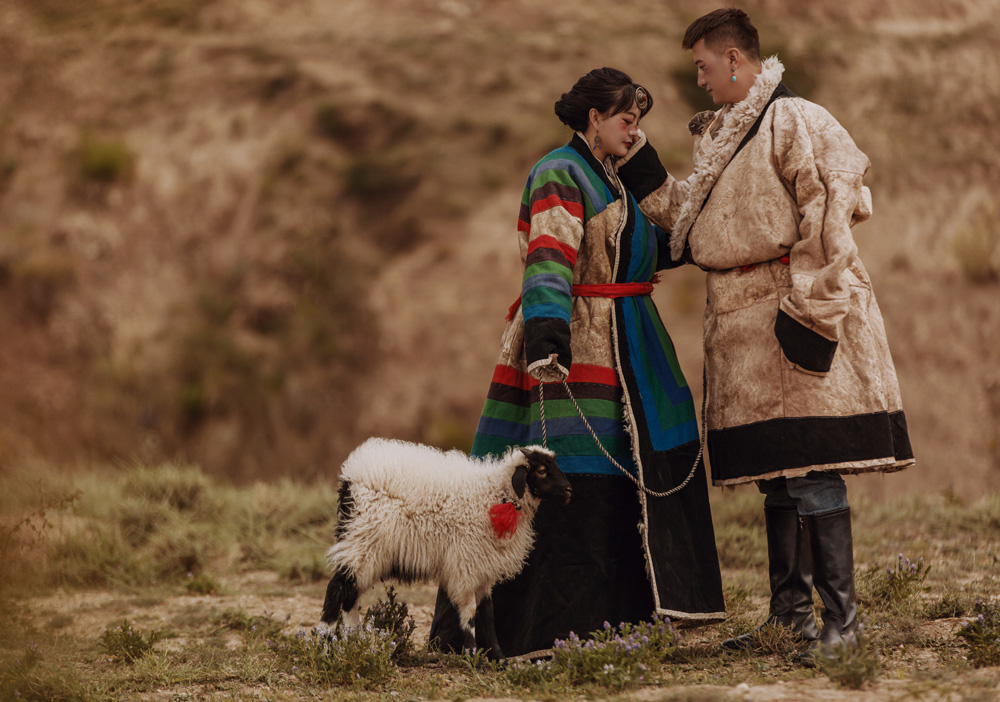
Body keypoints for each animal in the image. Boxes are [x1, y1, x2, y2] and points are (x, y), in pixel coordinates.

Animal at [320, 438, 572, 664]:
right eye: (541, 470)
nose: (569, 490)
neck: (496, 495)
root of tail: (351, 477)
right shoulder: (466, 563)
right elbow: (470, 612)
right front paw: (472, 656)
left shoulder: (483, 566)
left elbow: (488, 613)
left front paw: (499, 658)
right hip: (362, 543)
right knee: (337, 588)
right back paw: (324, 642)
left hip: (367, 550)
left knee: (350, 593)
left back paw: (356, 640)